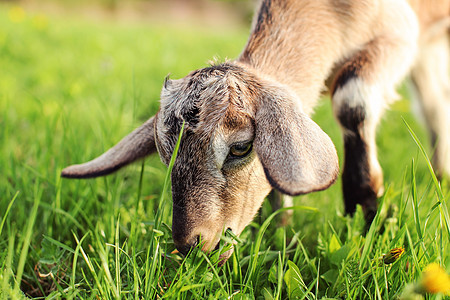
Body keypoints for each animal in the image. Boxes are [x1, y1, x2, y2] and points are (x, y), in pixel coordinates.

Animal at [60, 0, 450, 262]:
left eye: (240, 147)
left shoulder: (399, 35)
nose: (193, 244)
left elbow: (352, 102)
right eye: (165, 156)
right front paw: (282, 234)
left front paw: (366, 221)